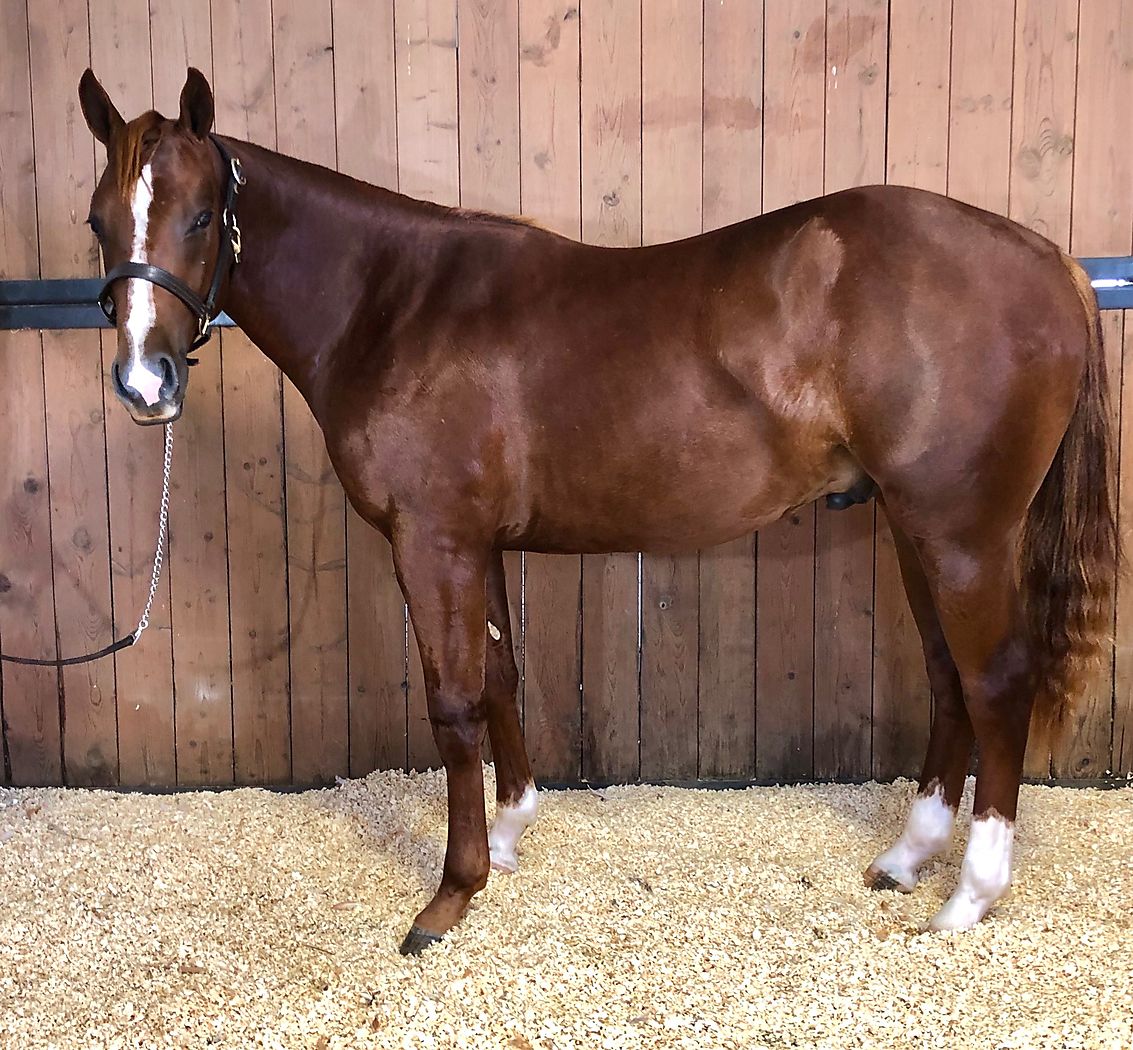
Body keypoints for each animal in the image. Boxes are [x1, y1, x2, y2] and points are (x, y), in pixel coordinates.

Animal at [78, 68, 1116, 955]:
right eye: (97, 220)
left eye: (202, 215)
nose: (144, 383)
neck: (393, 304)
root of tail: (1049, 259)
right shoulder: (477, 545)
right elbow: (499, 676)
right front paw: (508, 836)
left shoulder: (432, 542)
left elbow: (452, 701)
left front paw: (450, 893)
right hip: (913, 529)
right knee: (946, 676)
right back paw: (907, 857)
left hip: (962, 534)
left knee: (995, 681)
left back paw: (970, 893)